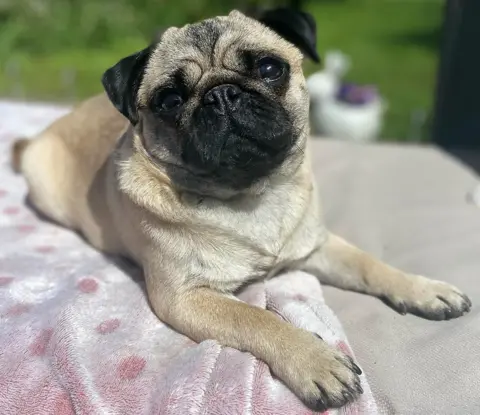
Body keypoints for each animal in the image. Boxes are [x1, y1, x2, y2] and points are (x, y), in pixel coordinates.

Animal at [13, 8, 470, 412]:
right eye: (170, 100)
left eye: (269, 69)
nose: (221, 94)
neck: (250, 196)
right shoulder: (186, 297)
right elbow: (257, 319)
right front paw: (315, 360)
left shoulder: (316, 247)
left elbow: (370, 265)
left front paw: (422, 289)